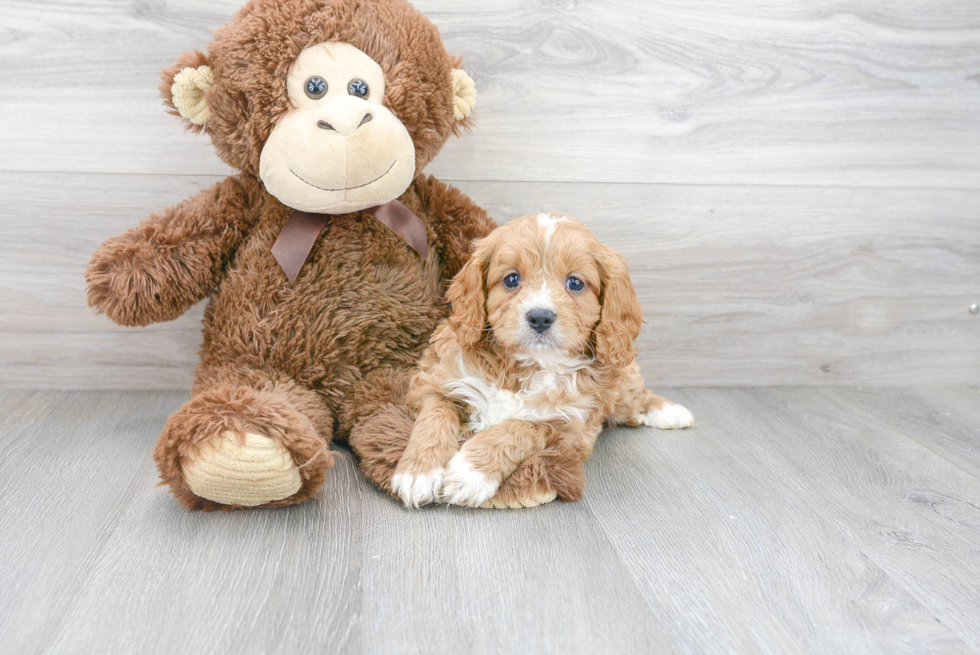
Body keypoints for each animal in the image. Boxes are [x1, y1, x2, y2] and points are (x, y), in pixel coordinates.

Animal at [388, 213, 688, 510]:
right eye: (511, 280)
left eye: (575, 283)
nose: (540, 317)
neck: (528, 364)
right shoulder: (435, 383)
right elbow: (435, 417)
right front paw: (418, 472)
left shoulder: (571, 426)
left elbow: (521, 427)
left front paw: (470, 472)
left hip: (619, 387)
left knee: (637, 398)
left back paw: (671, 412)